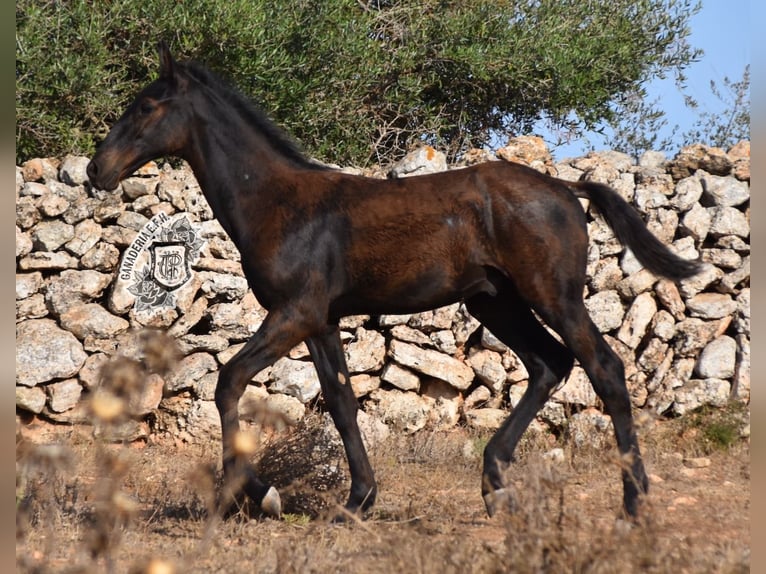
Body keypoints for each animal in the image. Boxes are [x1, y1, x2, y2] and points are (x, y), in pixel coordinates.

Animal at [88, 42, 704, 524]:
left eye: (147, 105)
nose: (98, 169)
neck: (280, 205)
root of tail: (566, 189)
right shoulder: (321, 321)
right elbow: (341, 402)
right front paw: (357, 500)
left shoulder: (294, 313)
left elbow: (229, 381)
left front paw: (257, 494)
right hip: (496, 303)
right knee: (549, 363)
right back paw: (494, 487)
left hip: (553, 296)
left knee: (604, 369)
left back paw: (633, 505)